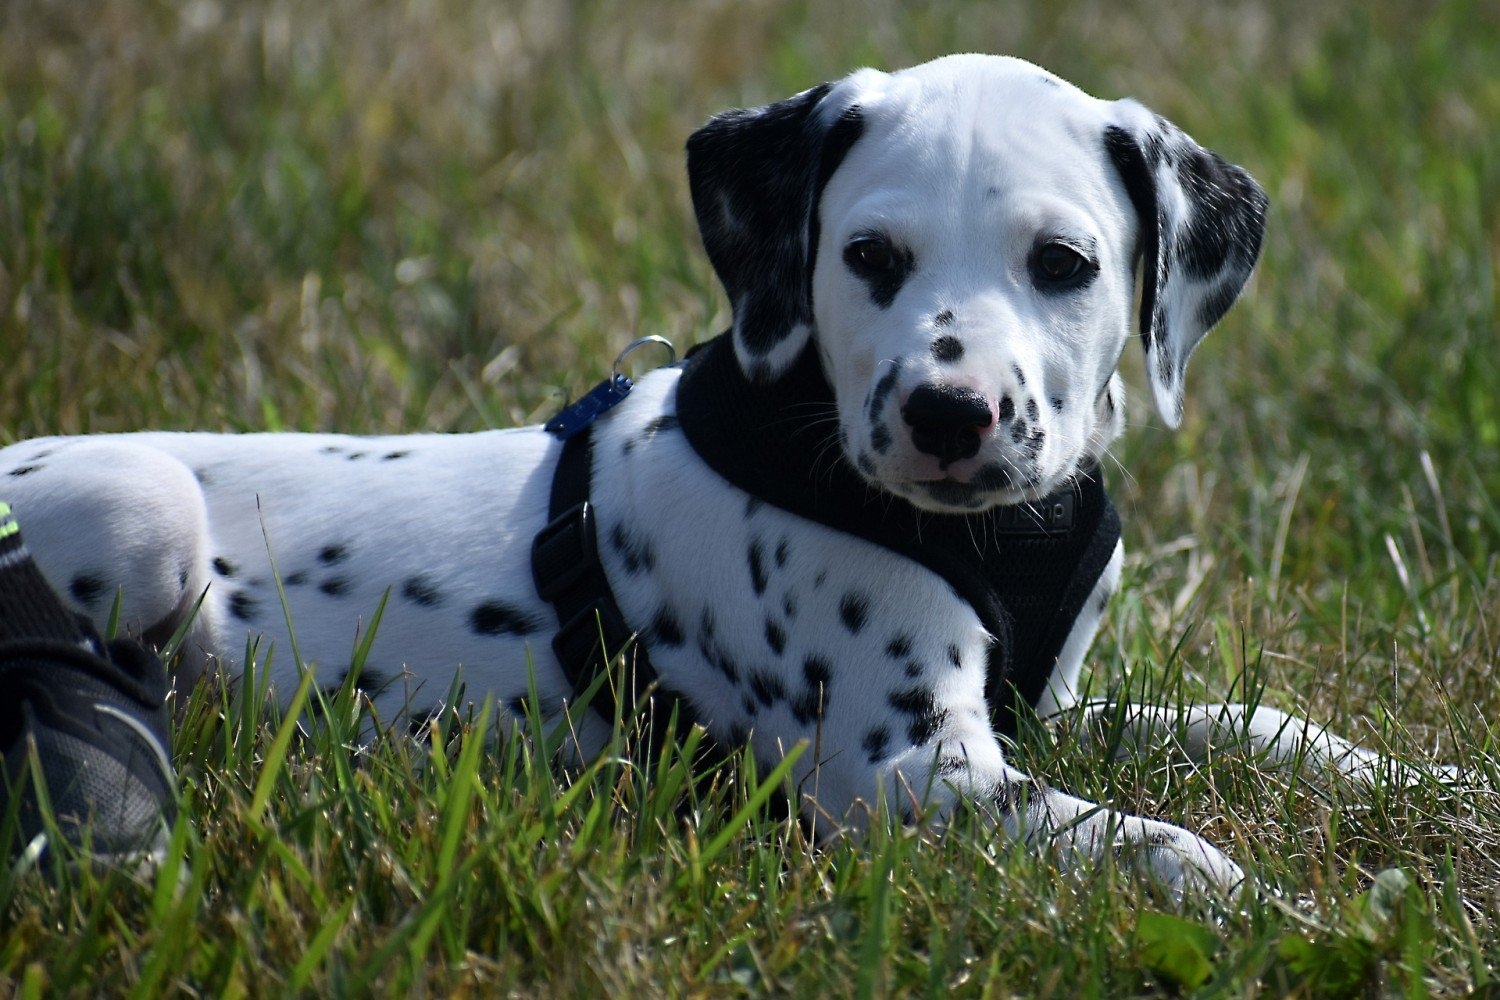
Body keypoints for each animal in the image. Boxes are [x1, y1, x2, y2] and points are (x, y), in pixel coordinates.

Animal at [2, 54, 1404, 893]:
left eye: (1063, 263)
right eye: (869, 256)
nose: (950, 415)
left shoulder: (1040, 711)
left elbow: (1250, 726)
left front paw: (1414, 785)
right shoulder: (902, 778)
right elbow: (1154, 842)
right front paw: (1278, 906)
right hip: (143, 512)